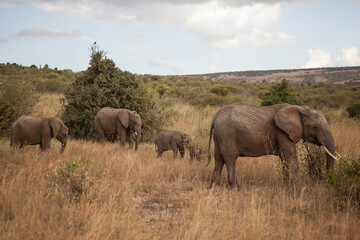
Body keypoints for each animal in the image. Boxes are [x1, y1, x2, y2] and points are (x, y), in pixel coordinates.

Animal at [207, 102, 338, 188]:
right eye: (315, 127)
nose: (327, 181)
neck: (300, 108)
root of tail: (215, 118)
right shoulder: (282, 132)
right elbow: (291, 159)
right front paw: (295, 187)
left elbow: (285, 160)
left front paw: (286, 186)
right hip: (227, 134)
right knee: (230, 159)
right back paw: (235, 188)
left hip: (220, 136)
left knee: (219, 159)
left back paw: (214, 186)